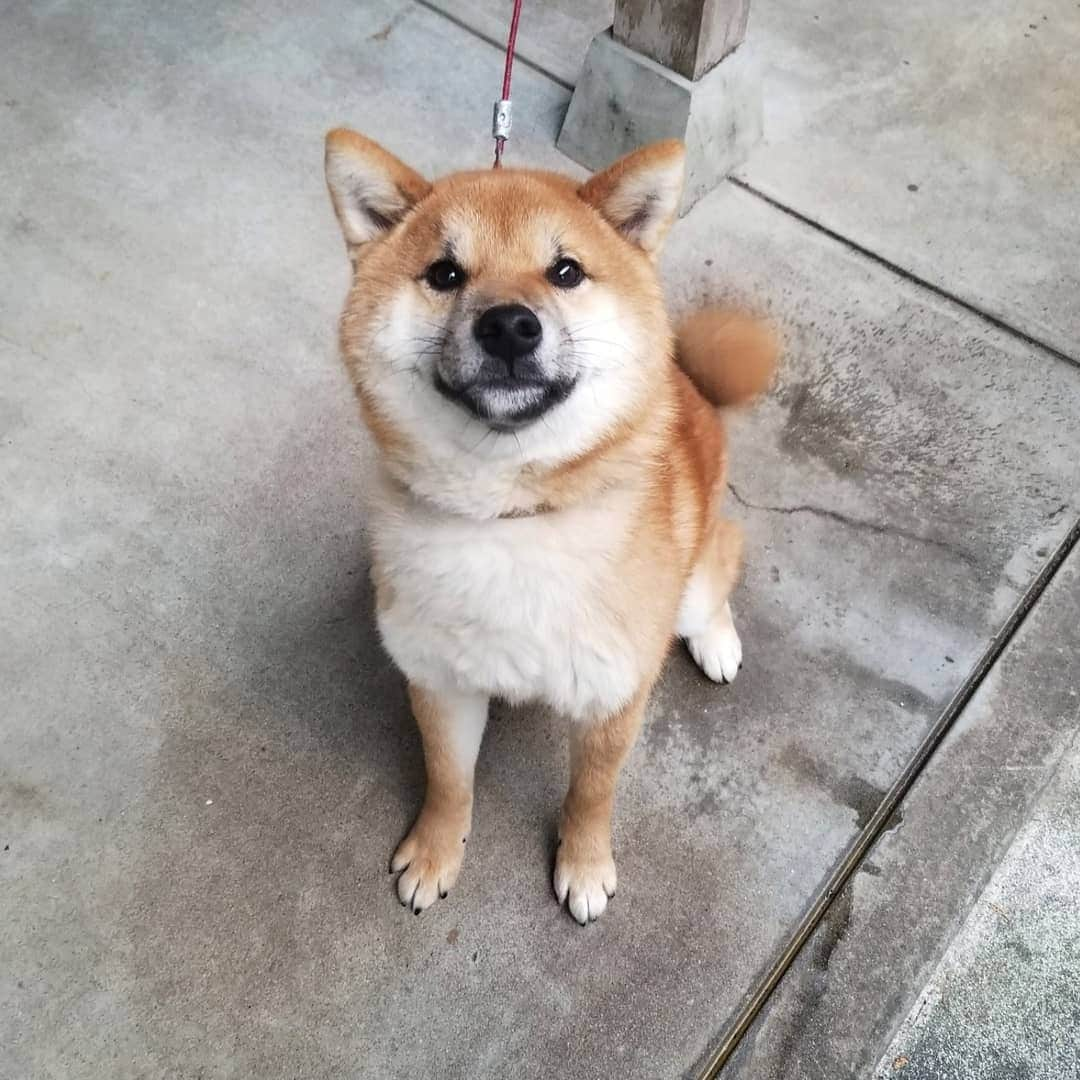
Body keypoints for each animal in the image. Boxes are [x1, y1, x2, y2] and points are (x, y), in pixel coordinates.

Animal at [321, 124, 777, 920]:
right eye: (444, 273)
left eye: (566, 271)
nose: (509, 325)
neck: (513, 515)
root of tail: (691, 386)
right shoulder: (440, 683)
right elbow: (448, 780)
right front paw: (437, 851)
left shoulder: (615, 693)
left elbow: (592, 793)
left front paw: (586, 865)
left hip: (694, 580)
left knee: (718, 574)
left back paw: (717, 641)